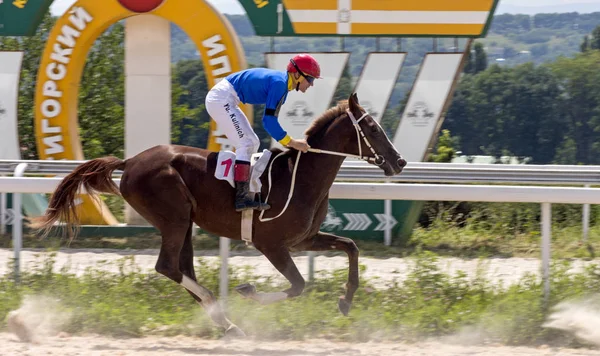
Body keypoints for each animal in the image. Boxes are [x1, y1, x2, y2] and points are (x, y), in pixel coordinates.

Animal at [31, 92, 408, 336]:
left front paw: (346, 300)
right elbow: (298, 285)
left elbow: (350, 247)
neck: (301, 176)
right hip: (175, 217)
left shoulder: (305, 239)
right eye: (373, 129)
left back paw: (223, 320)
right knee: (168, 267)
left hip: (184, 224)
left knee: (182, 268)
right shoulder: (271, 244)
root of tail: (132, 160)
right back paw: (222, 313)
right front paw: (249, 291)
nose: (400, 161)